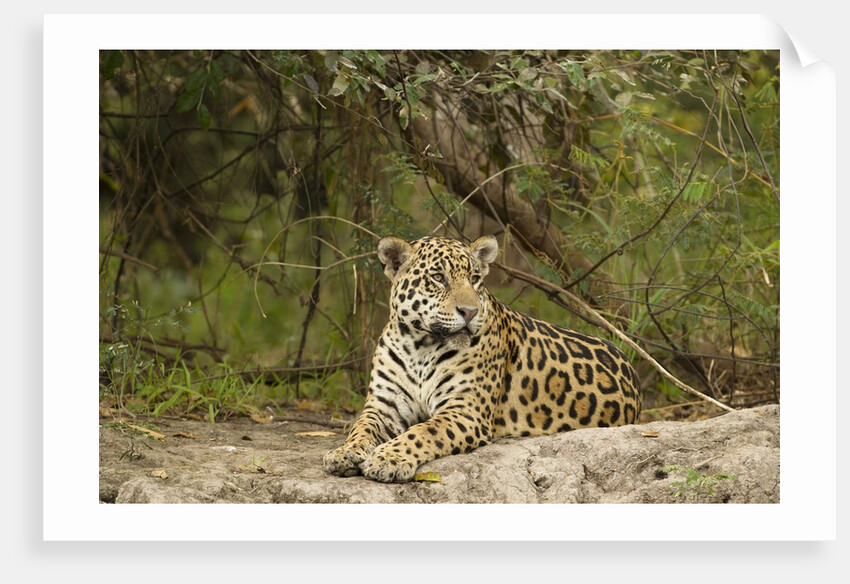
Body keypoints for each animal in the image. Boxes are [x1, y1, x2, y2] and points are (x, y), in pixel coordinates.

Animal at [323, 234, 641, 483]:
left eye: (475, 279)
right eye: (438, 278)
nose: (470, 312)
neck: (419, 347)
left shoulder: (465, 410)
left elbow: (423, 431)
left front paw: (388, 458)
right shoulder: (384, 405)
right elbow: (360, 427)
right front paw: (343, 453)